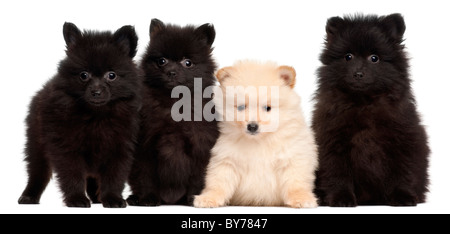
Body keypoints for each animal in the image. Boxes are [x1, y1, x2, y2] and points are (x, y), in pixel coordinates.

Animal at [195, 60, 318, 208]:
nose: (252, 126)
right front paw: (209, 198)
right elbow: (218, 183)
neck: (259, 140)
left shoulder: (293, 158)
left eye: (268, 108)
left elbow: (296, 183)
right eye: (241, 107)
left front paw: (301, 198)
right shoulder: (227, 160)